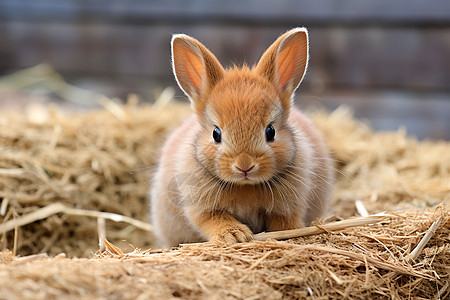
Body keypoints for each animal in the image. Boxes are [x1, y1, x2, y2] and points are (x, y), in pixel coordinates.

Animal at [151, 27, 334, 248]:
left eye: (270, 131)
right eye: (216, 134)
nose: (244, 166)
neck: (246, 186)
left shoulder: (288, 206)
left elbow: (284, 221)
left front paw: (290, 232)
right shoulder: (202, 209)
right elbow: (213, 220)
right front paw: (234, 235)